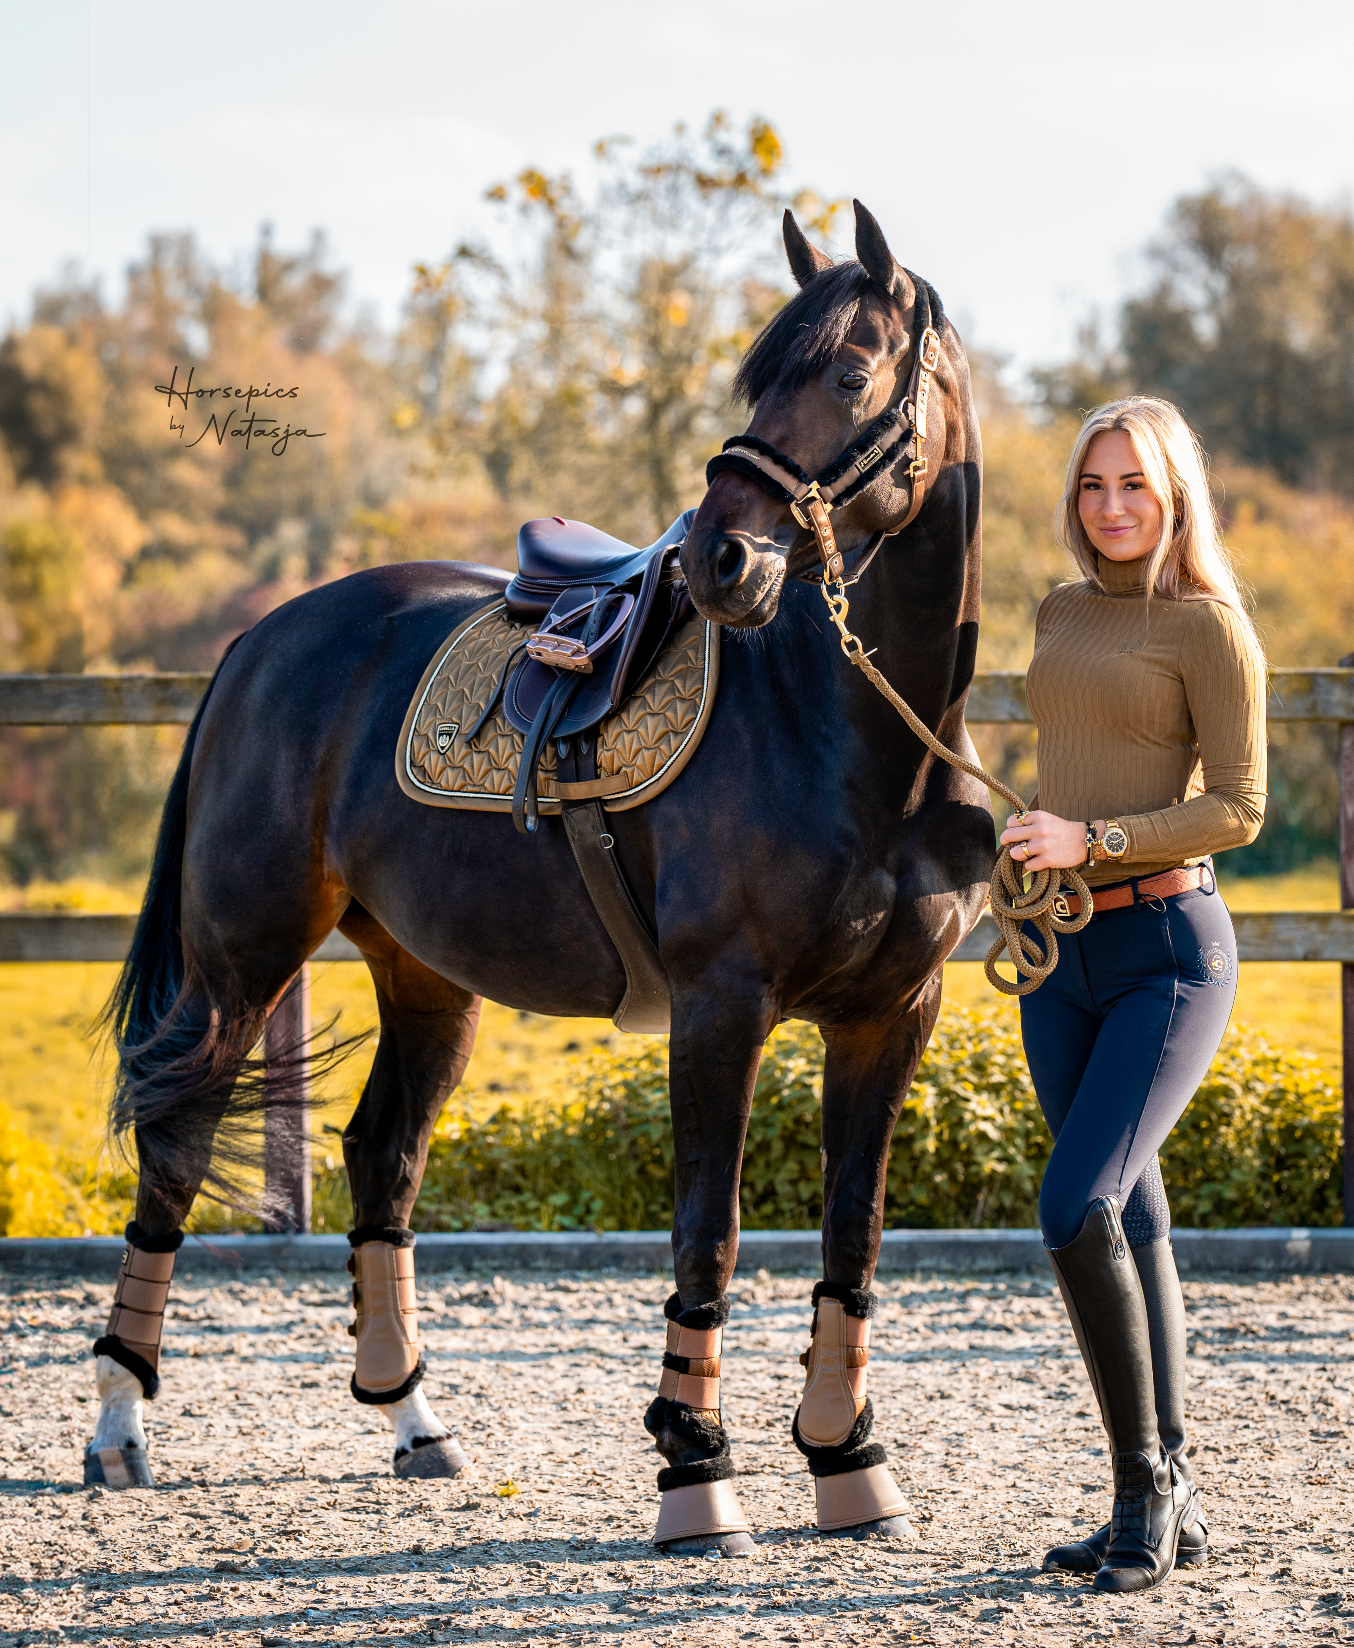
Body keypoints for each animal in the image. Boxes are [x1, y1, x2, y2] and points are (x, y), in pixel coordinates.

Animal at [85, 201, 994, 1553]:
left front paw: (846, 1457)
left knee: (382, 1156)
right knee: (178, 1142)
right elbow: (709, 1232)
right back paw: (118, 1420)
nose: (721, 558)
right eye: (758, 378)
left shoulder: (893, 1015)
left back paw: (412, 1416)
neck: (852, 737)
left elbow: (854, 1231)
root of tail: (263, 637)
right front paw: (694, 1471)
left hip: (424, 976)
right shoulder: (721, 1008)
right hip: (241, 959)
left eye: (847, 374)